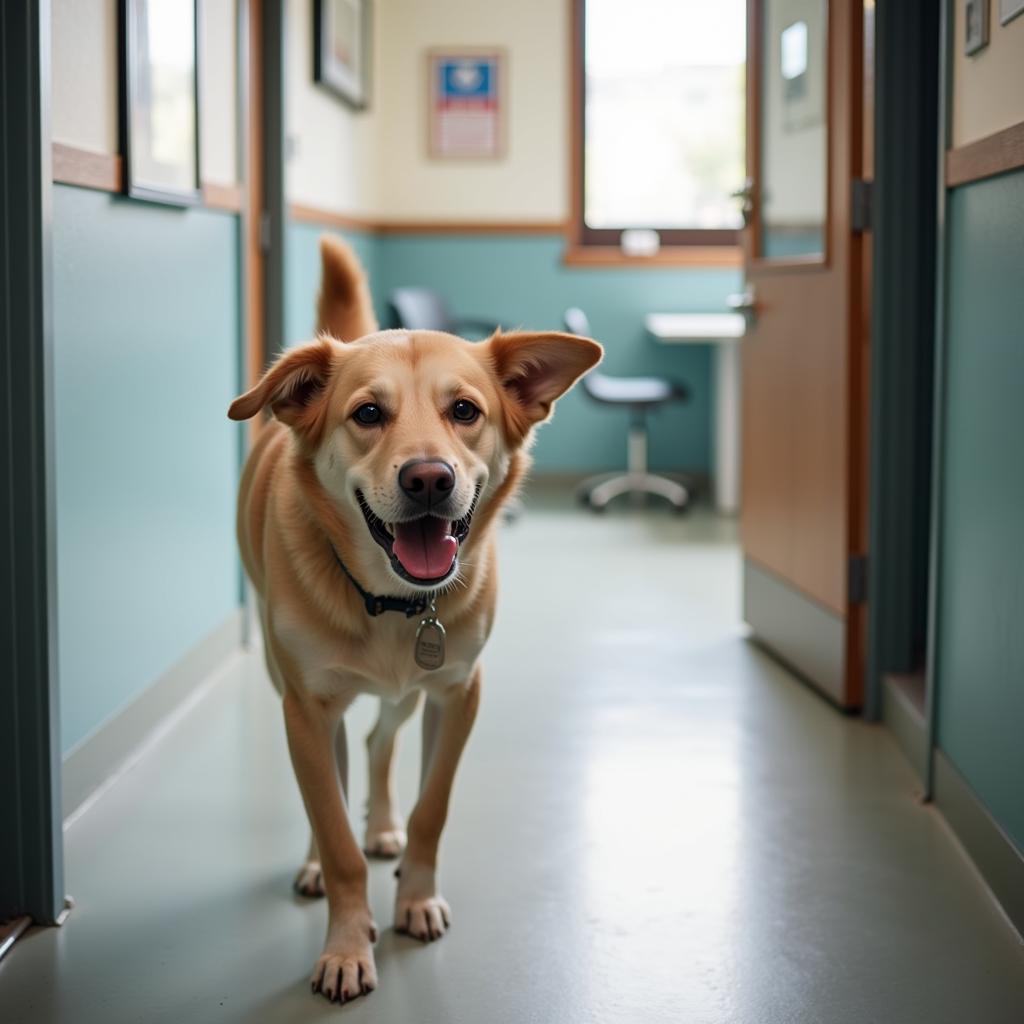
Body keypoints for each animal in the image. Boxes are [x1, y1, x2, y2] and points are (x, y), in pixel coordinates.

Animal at [228, 235, 598, 1003]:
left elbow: (433, 808)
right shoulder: (307, 709)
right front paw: (346, 944)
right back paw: (318, 859)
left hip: (406, 695)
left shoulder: (457, 693)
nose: (429, 478)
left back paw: (384, 825)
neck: (395, 603)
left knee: (377, 742)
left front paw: (415, 898)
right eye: (368, 414)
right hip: (295, 694)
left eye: (465, 410)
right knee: (335, 780)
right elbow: (332, 827)